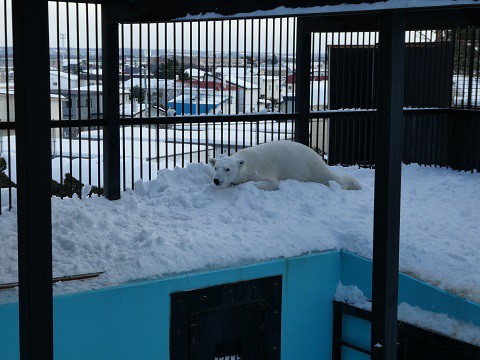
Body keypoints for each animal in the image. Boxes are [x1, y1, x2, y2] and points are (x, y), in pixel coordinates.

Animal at [208, 141, 362, 191]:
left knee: (333, 179)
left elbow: (271, 183)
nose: (216, 180)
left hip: (312, 168)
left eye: (227, 169)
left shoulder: (260, 170)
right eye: (215, 168)